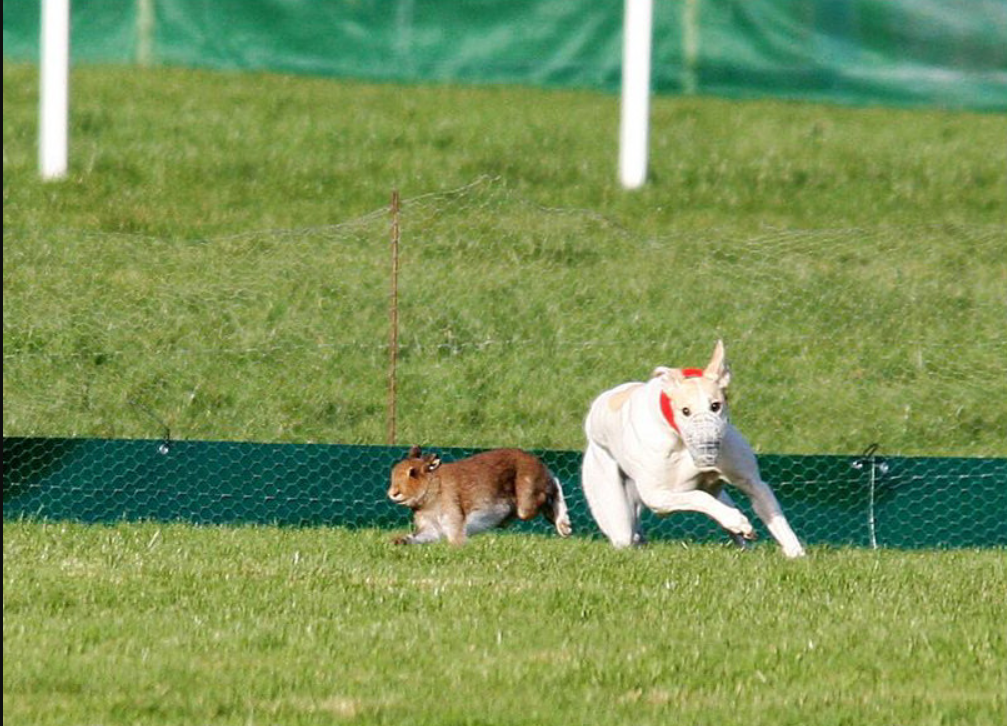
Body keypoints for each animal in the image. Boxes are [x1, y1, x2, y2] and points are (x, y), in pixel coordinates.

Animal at [388, 445, 573, 545]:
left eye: (412, 473)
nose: (393, 493)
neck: (432, 486)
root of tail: (537, 462)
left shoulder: (453, 520)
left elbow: (456, 539)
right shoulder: (430, 529)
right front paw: (399, 541)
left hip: (527, 503)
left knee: (553, 487)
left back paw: (565, 526)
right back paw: (565, 529)